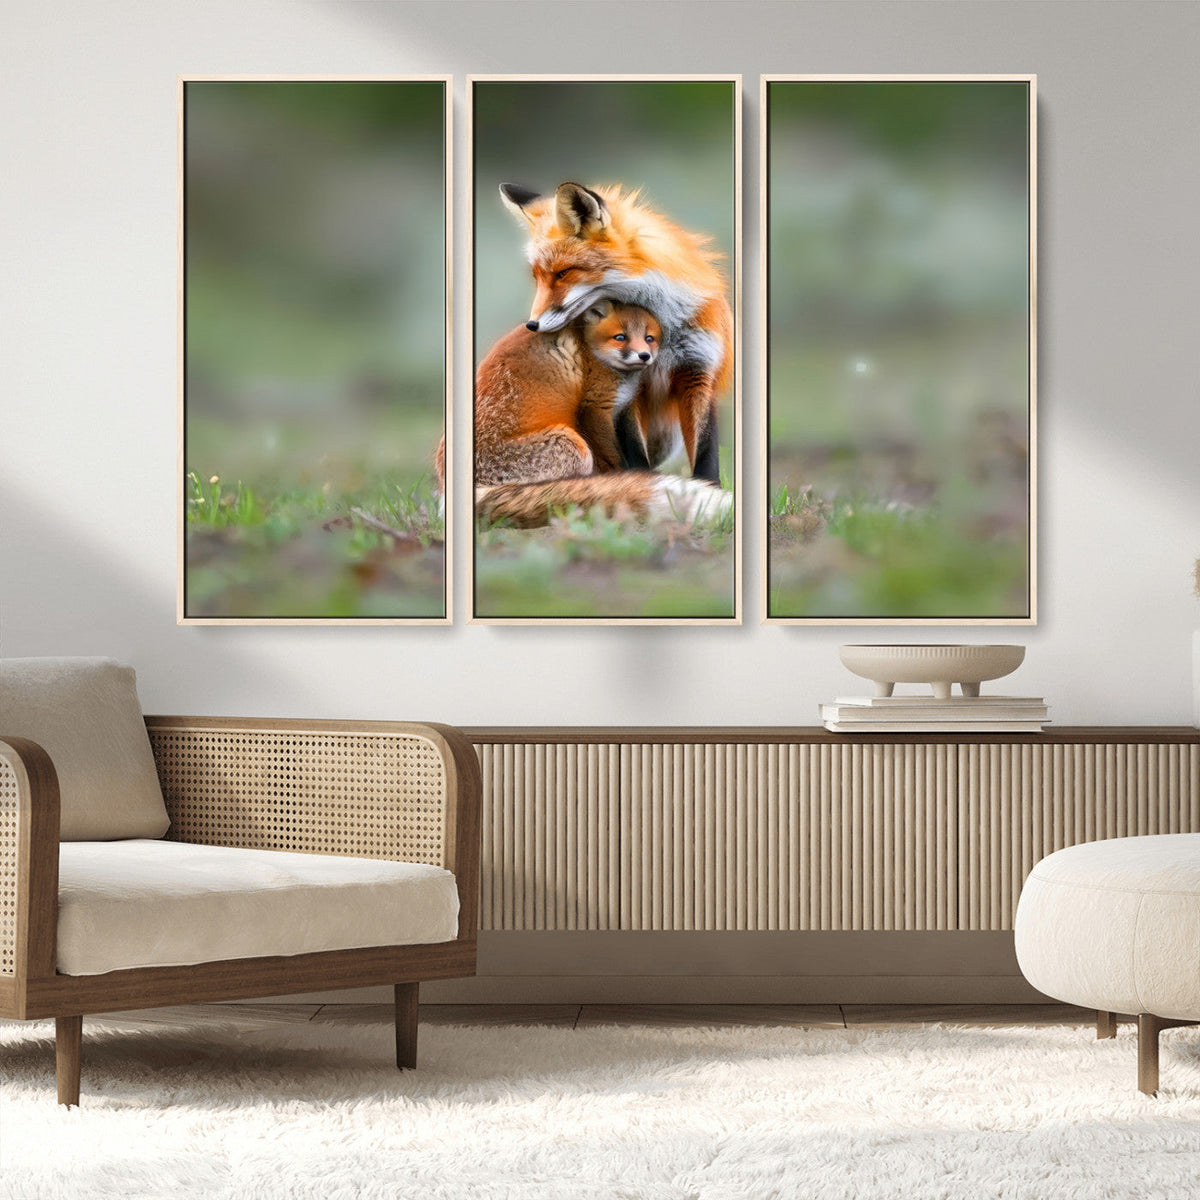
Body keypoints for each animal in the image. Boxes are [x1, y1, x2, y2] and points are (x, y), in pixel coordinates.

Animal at [499, 180, 734, 483]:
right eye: (537, 277)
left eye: (563, 273)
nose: (532, 325)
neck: (663, 329)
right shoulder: (629, 386)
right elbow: (634, 452)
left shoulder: (698, 371)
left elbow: (705, 454)